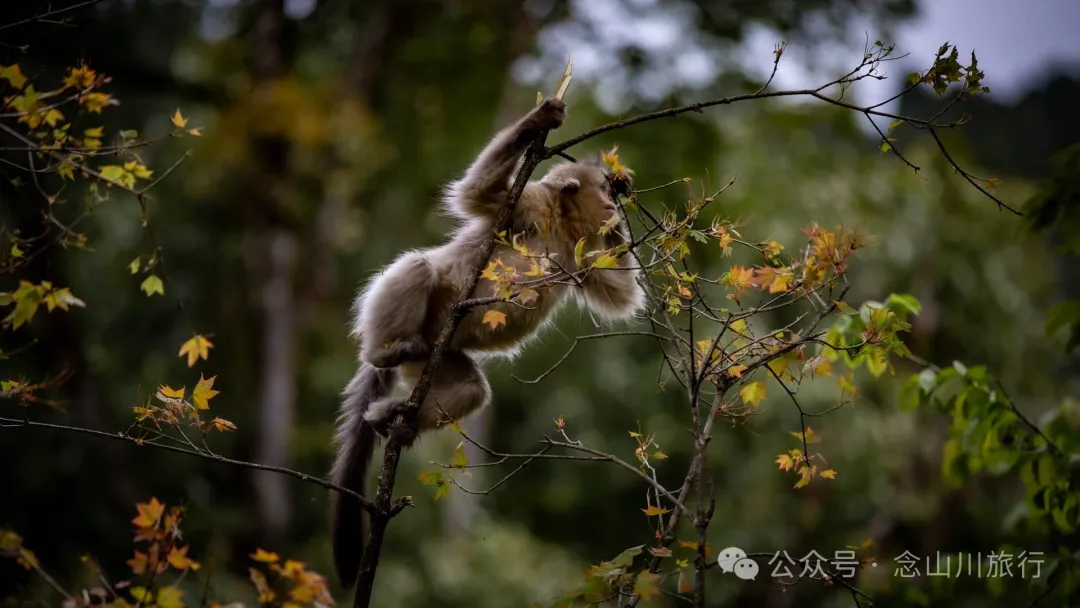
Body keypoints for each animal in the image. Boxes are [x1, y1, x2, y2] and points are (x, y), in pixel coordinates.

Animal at [329, 97, 646, 588]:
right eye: (602, 195)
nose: (614, 204)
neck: (562, 224)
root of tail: (417, 342)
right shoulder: (531, 203)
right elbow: (476, 194)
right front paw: (540, 120)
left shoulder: (583, 247)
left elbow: (618, 296)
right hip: (420, 323)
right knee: (421, 267)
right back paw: (383, 354)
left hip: (437, 357)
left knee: (469, 389)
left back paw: (394, 420)